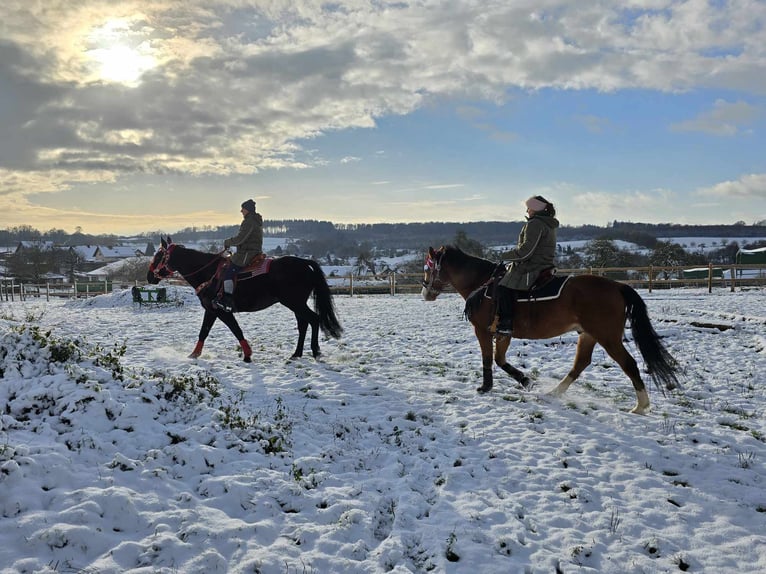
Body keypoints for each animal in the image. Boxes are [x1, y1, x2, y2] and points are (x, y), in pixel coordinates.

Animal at [148, 238, 344, 364]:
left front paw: (248, 355)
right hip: (296, 304)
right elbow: (204, 332)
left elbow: (236, 330)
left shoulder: (221, 310)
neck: (209, 272)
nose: (150, 276)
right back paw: (296, 354)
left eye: (158, 256)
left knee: (314, 320)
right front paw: (194, 354)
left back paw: (316, 352)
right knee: (304, 324)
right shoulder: (211, 310)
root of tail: (304, 263)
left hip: (295, 303)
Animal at [424, 245, 680, 416]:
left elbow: (488, 358)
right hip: (588, 335)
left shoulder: (483, 331)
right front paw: (526, 381)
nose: (426, 293)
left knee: (628, 364)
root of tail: (617, 286)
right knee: (580, 364)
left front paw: (486, 387)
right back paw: (554, 393)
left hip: (607, 337)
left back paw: (640, 406)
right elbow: (500, 359)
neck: (483, 285)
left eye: (428, 268)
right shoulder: (504, 333)